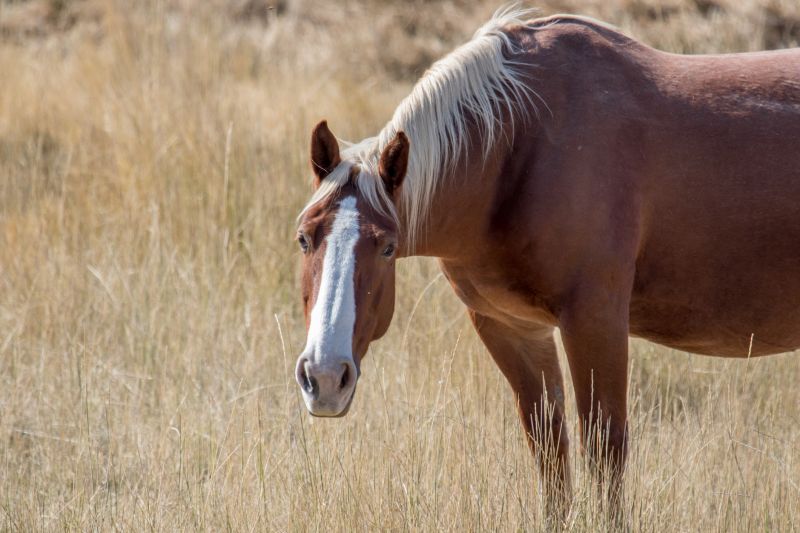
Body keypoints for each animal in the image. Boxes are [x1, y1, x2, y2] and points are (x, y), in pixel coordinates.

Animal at [293, 7, 800, 515]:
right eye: (302, 239)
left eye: (387, 247)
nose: (325, 377)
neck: (521, 144)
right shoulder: (512, 328)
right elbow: (550, 454)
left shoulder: (596, 322)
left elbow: (605, 452)